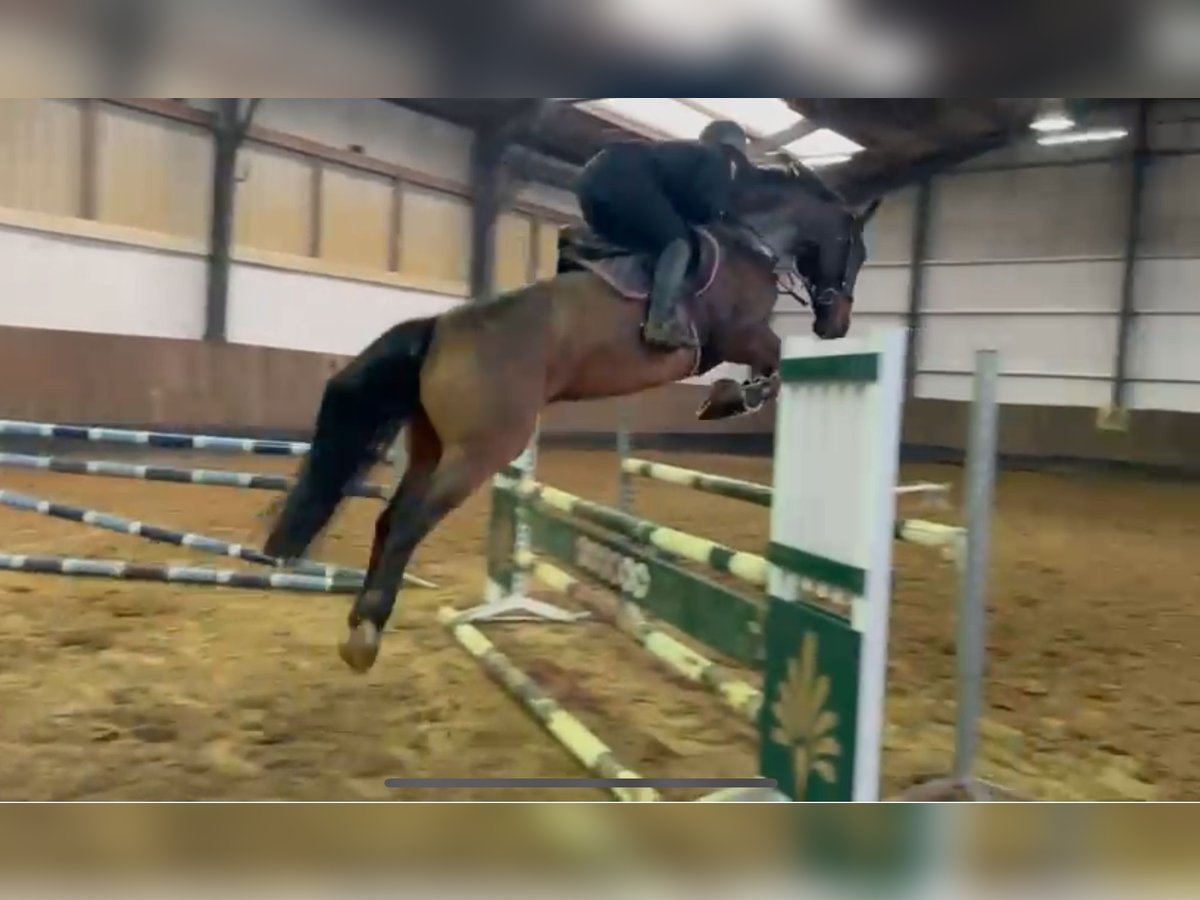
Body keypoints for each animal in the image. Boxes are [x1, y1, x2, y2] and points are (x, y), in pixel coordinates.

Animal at [265, 170, 883, 676]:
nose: (835, 326)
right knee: (408, 524)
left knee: (391, 519)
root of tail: (440, 327)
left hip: (433, 448)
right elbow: (773, 364)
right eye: (856, 250)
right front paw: (727, 399)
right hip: (481, 450)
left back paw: (362, 621)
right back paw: (365, 635)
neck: (752, 241)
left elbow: (770, 368)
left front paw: (727, 398)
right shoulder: (739, 334)